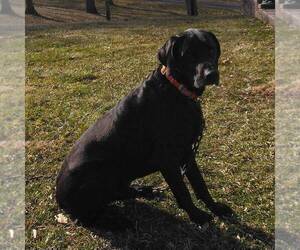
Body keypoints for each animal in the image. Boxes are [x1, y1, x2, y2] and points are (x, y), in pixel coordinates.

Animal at [56, 28, 234, 226]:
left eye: (211, 49)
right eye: (188, 54)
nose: (211, 74)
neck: (178, 90)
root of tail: (59, 199)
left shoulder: (188, 152)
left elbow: (200, 184)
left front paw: (216, 208)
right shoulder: (168, 159)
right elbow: (183, 192)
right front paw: (197, 216)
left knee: (118, 193)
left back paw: (144, 192)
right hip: (101, 172)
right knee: (89, 216)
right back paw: (117, 222)